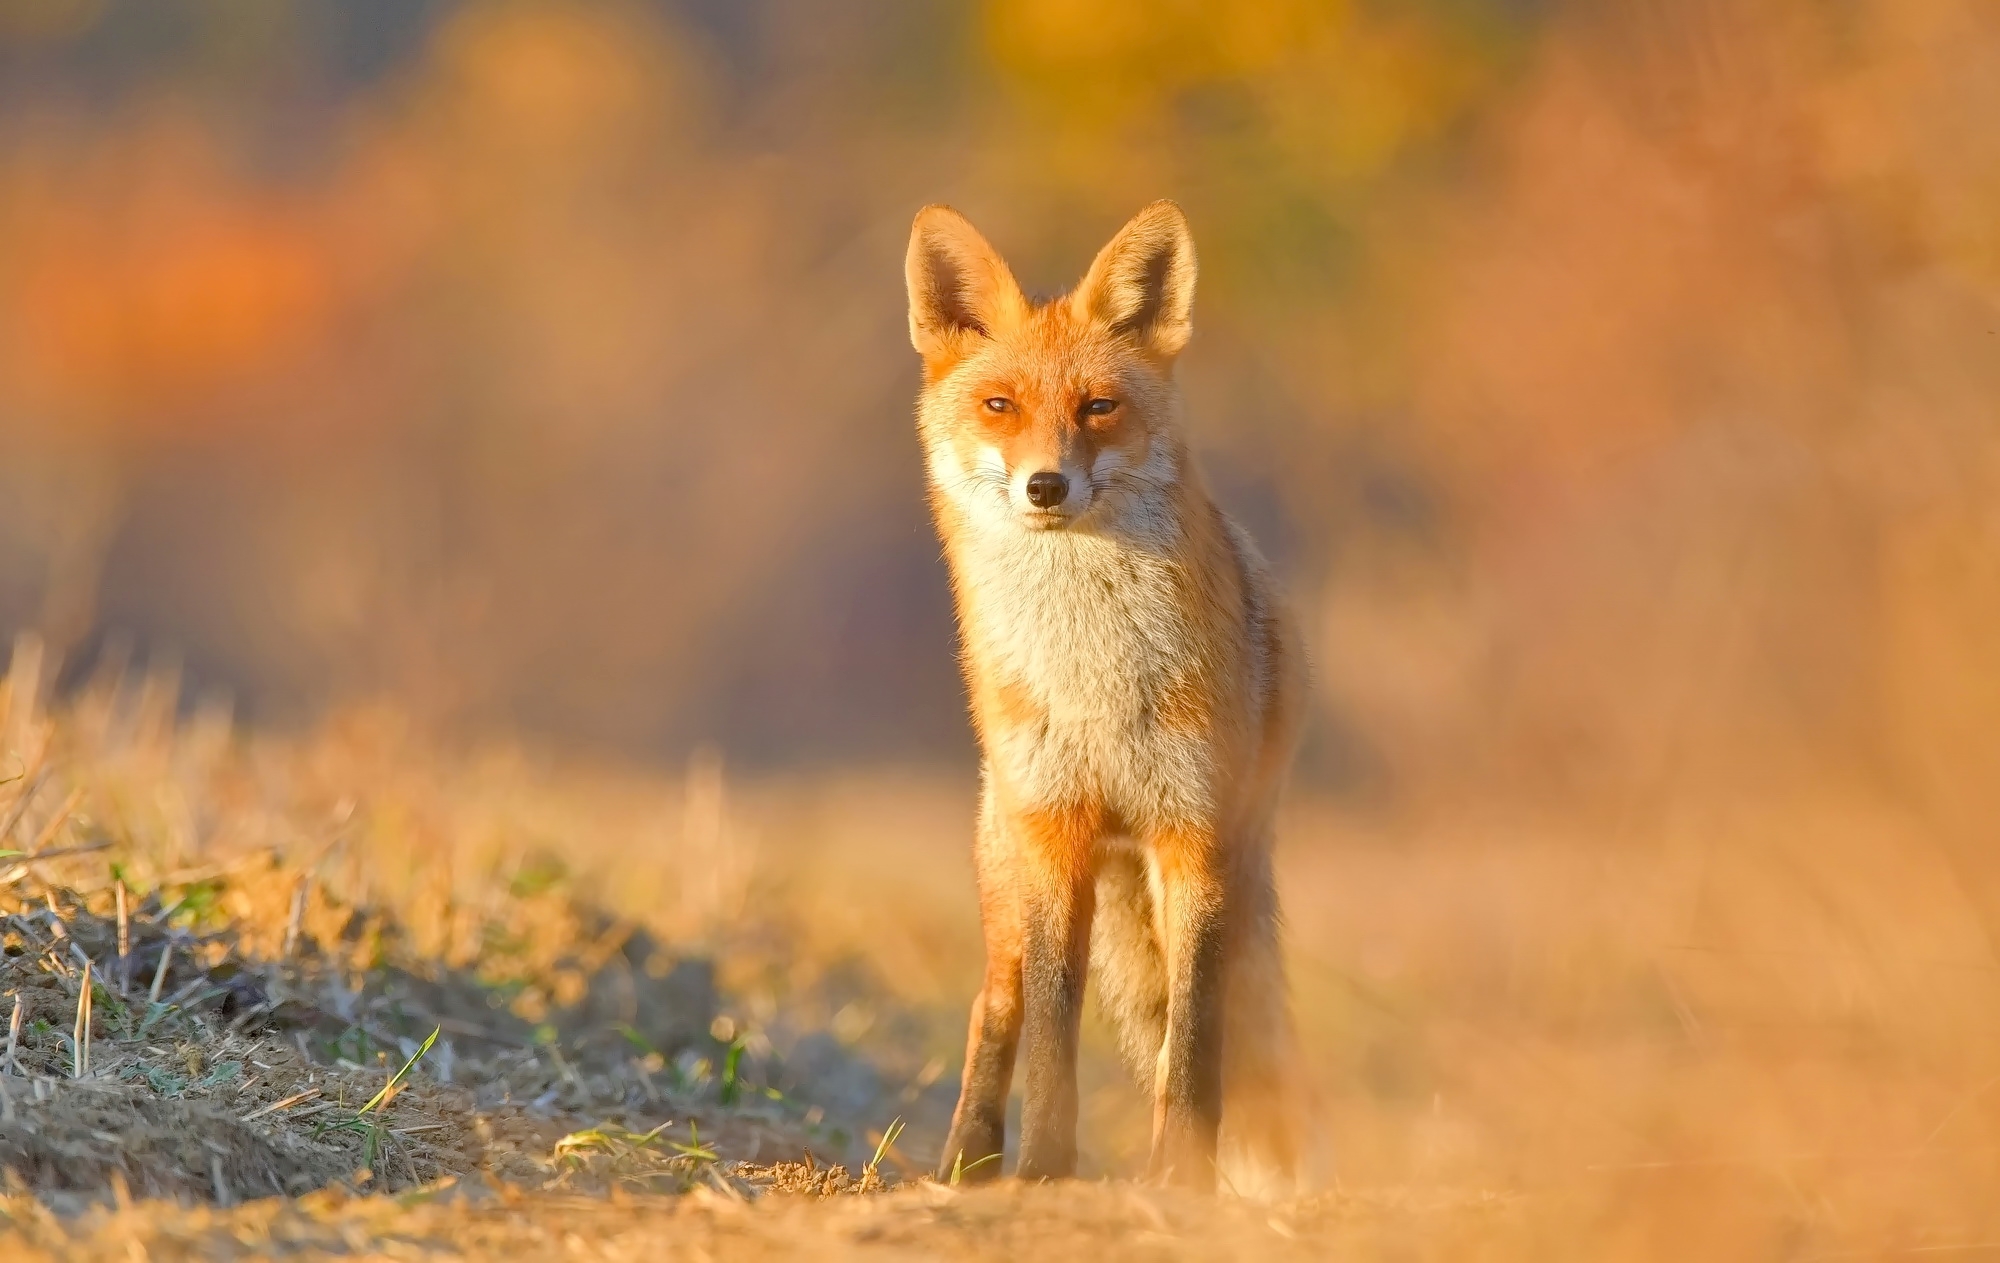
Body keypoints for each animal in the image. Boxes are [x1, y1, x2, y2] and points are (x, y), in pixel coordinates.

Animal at [912, 199, 1320, 1191]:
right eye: (1000, 406)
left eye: (1099, 407)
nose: (1045, 484)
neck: (1096, 684)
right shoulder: (1059, 835)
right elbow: (1053, 1035)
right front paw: (1042, 1170)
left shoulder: (1194, 837)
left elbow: (1196, 1041)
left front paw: (1183, 1178)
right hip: (1008, 863)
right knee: (995, 1007)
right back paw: (968, 1161)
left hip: (1229, 865)